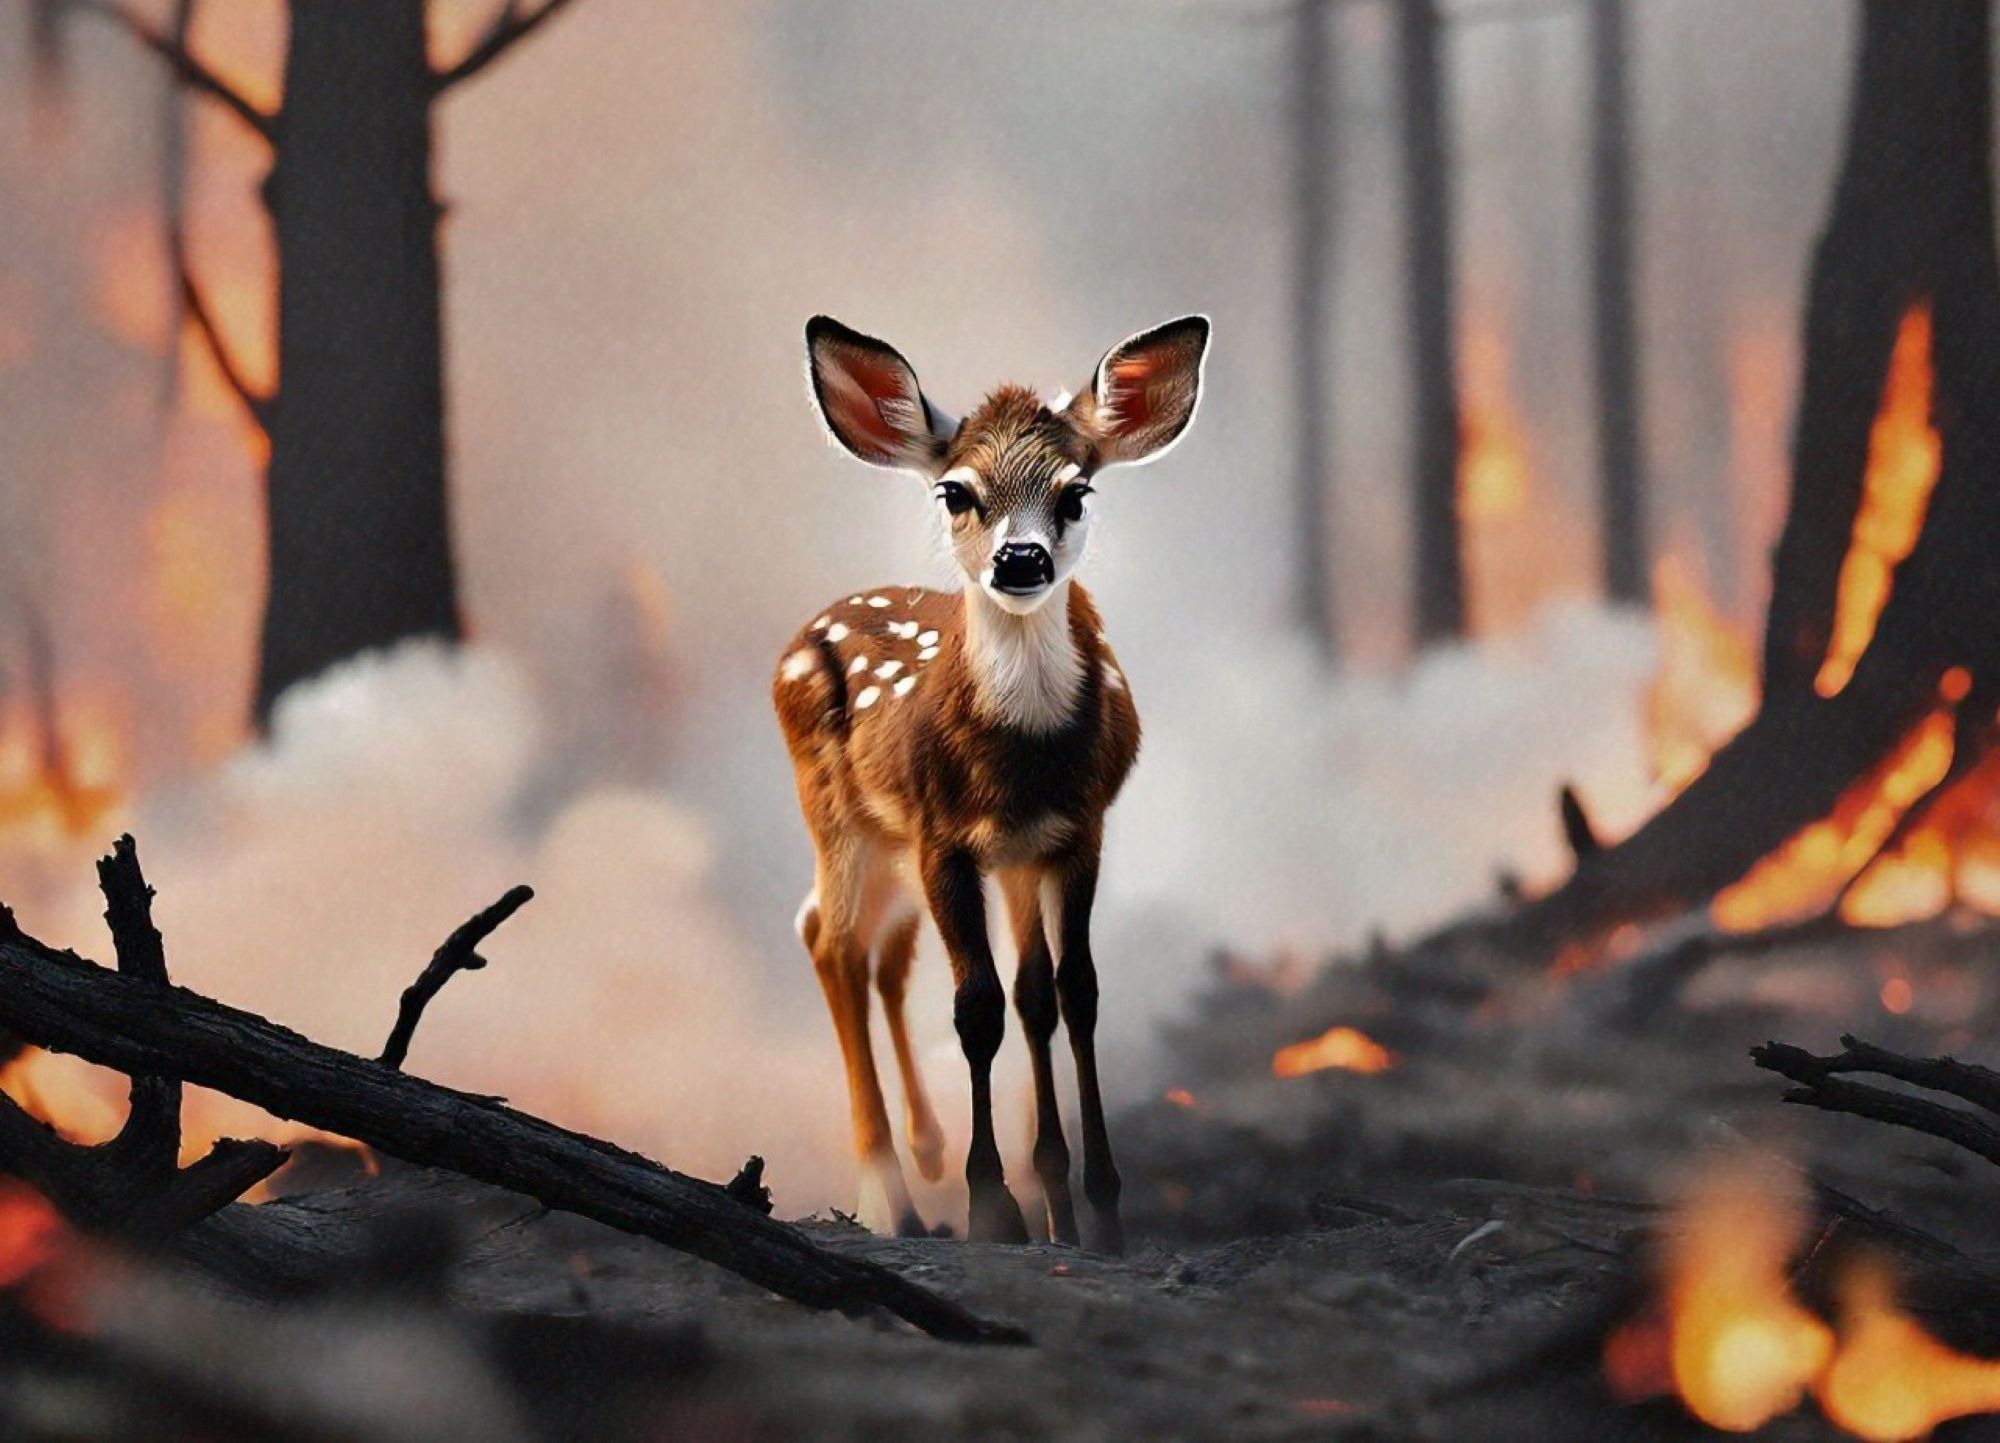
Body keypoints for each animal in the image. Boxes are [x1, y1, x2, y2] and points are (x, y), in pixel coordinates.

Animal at [773, 313, 1209, 1251]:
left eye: (1076, 492)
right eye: (955, 493)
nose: (1019, 559)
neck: (1021, 761)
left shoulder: (1071, 832)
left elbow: (1067, 992)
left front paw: (1092, 1211)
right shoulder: (945, 838)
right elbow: (976, 1006)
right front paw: (992, 1207)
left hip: (917, 851)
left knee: (878, 949)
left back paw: (930, 1159)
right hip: (840, 815)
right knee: (834, 941)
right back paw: (892, 1196)